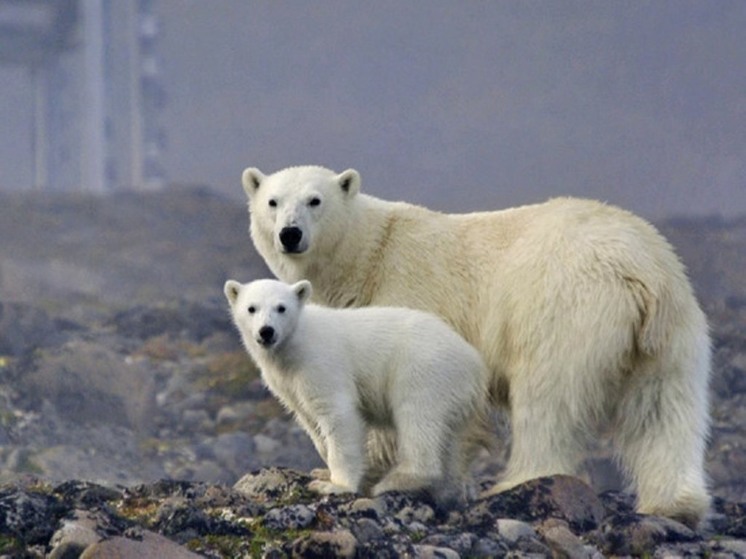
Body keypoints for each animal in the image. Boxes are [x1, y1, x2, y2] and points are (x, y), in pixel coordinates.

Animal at [240, 164, 708, 528]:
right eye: (273, 201)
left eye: (315, 200)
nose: (290, 234)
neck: (367, 256)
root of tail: (642, 271)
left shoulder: (409, 297)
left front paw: (372, 469)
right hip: (671, 332)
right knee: (664, 410)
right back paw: (677, 505)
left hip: (565, 308)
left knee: (548, 398)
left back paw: (517, 482)